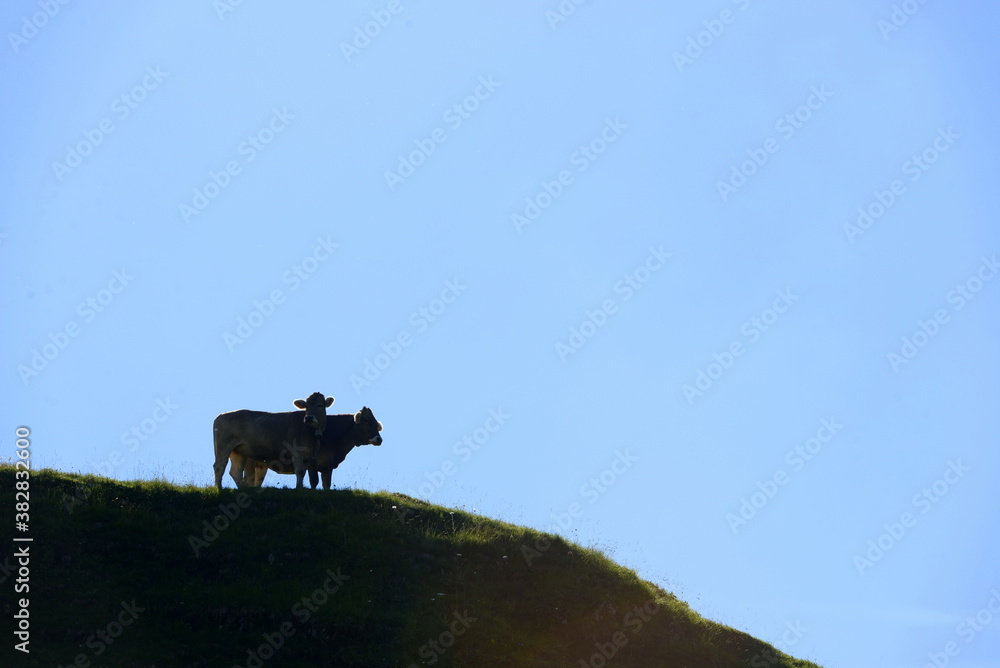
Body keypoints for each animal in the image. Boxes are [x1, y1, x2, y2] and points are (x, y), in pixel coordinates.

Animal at [230, 406, 383, 490]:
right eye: (367, 421)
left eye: (376, 422)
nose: (379, 439)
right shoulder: (312, 462)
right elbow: (313, 481)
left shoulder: (327, 466)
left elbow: (326, 484)